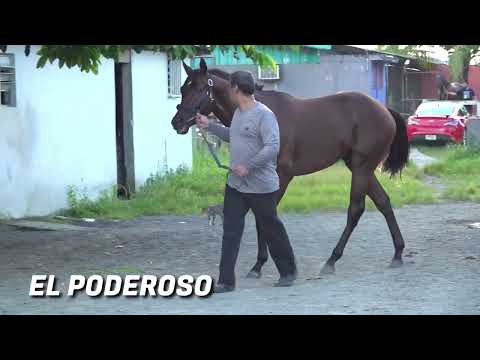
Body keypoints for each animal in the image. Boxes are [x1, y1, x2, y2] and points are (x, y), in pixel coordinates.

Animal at [172, 57, 408, 278]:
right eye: (183, 89)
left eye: (200, 88)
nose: (178, 121)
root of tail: (384, 110)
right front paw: (260, 265)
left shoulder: (281, 176)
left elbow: (265, 217)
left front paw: (261, 265)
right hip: (361, 168)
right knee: (383, 202)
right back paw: (397, 254)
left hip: (361, 168)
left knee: (355, 209)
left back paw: (331, 260)